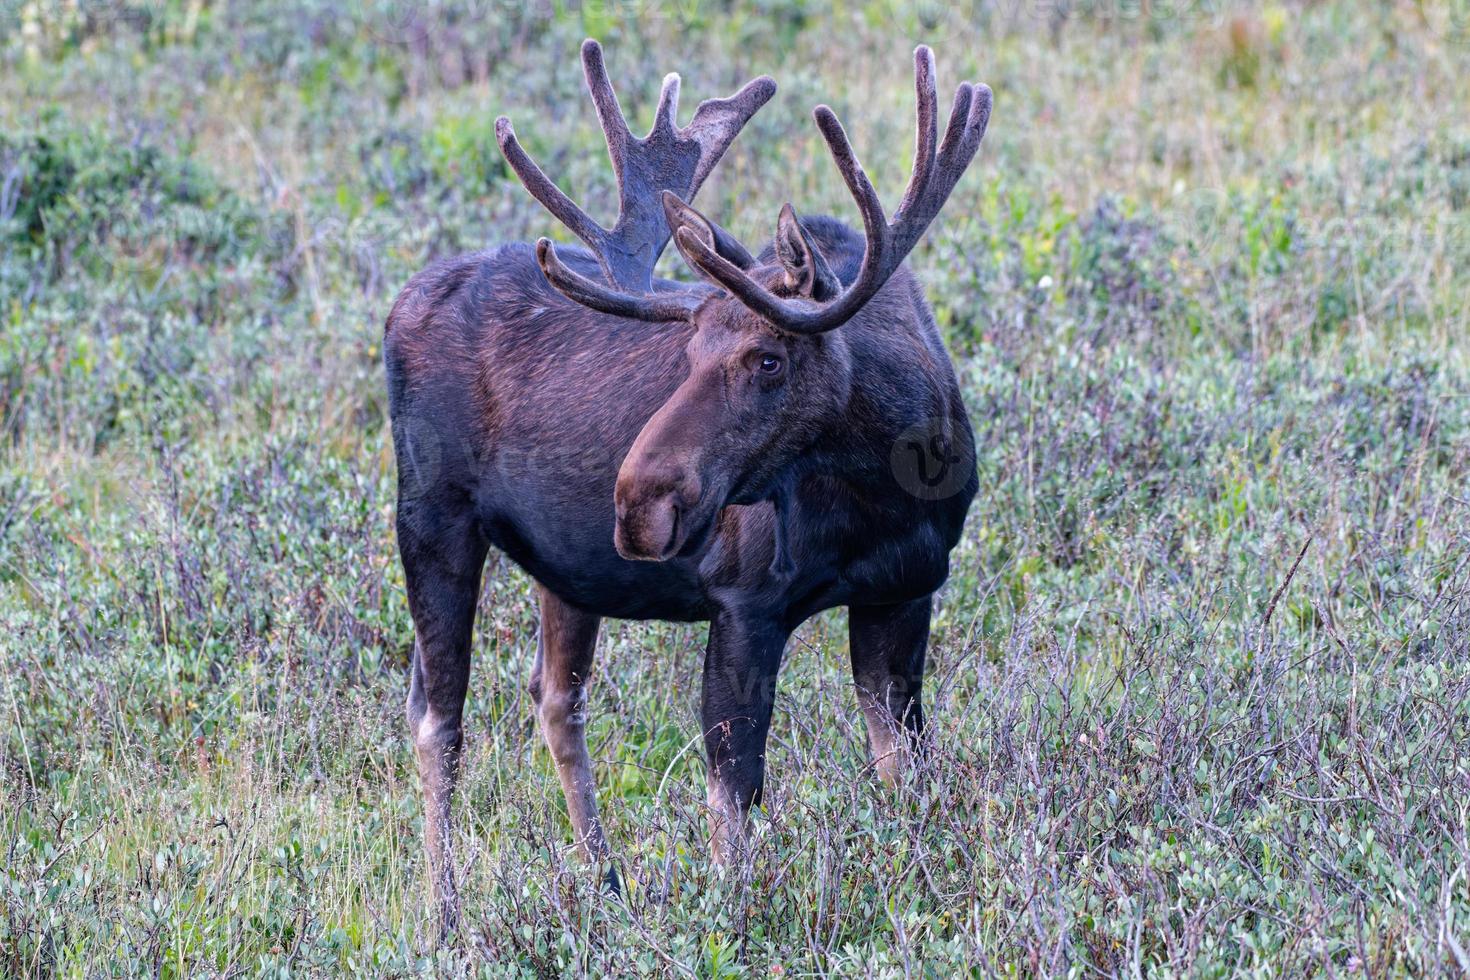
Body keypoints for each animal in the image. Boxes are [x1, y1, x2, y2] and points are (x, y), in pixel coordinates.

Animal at [385, 38, 993, 928]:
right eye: (690, 349)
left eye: (767, 359)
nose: (638, 502)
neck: (881, 490)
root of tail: (401, 302)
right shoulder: (744, 600)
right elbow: (732, 795)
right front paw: (731, 920)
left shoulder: (906, 590)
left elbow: (904, 773)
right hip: (430, 518)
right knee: (439, 719)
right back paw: (444, 915)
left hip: (565, 567)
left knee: (554, 699)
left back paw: (607, 883)